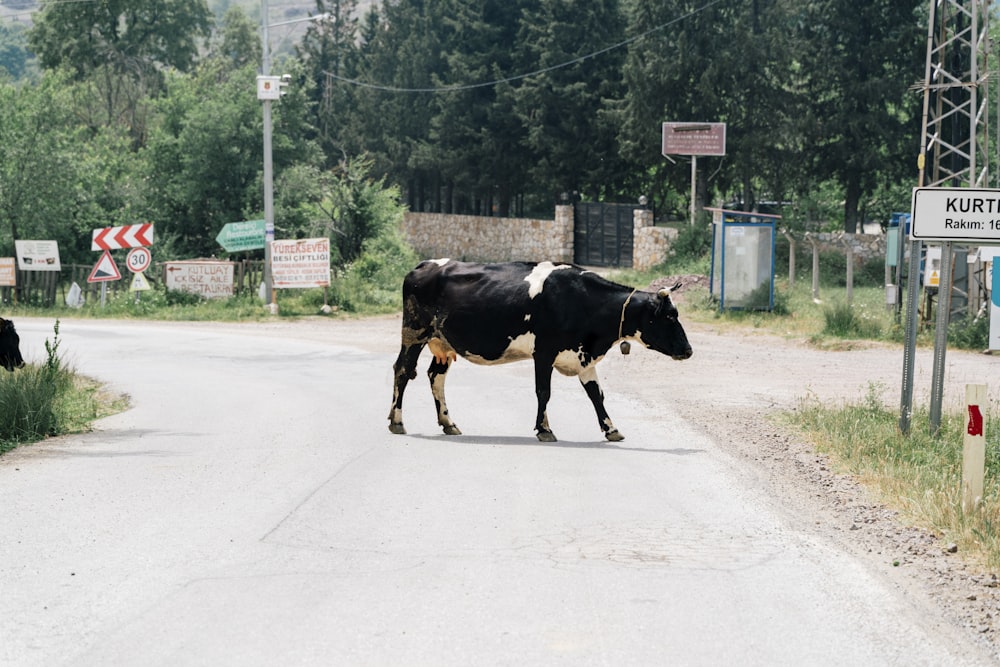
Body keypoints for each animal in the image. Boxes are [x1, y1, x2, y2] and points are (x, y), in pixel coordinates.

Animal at [386, 260, 692, 444]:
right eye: (668, 317)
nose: (688, 350)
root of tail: (424, 265)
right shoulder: (543, 352)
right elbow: (543, 392)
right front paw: (544, 429)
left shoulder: (582, 356)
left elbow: (597, 395)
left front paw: (612, 429)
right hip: (414, 333)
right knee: (403, 370)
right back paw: (397, 422)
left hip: (443, 343)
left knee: (435, 376)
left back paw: (448, 423)